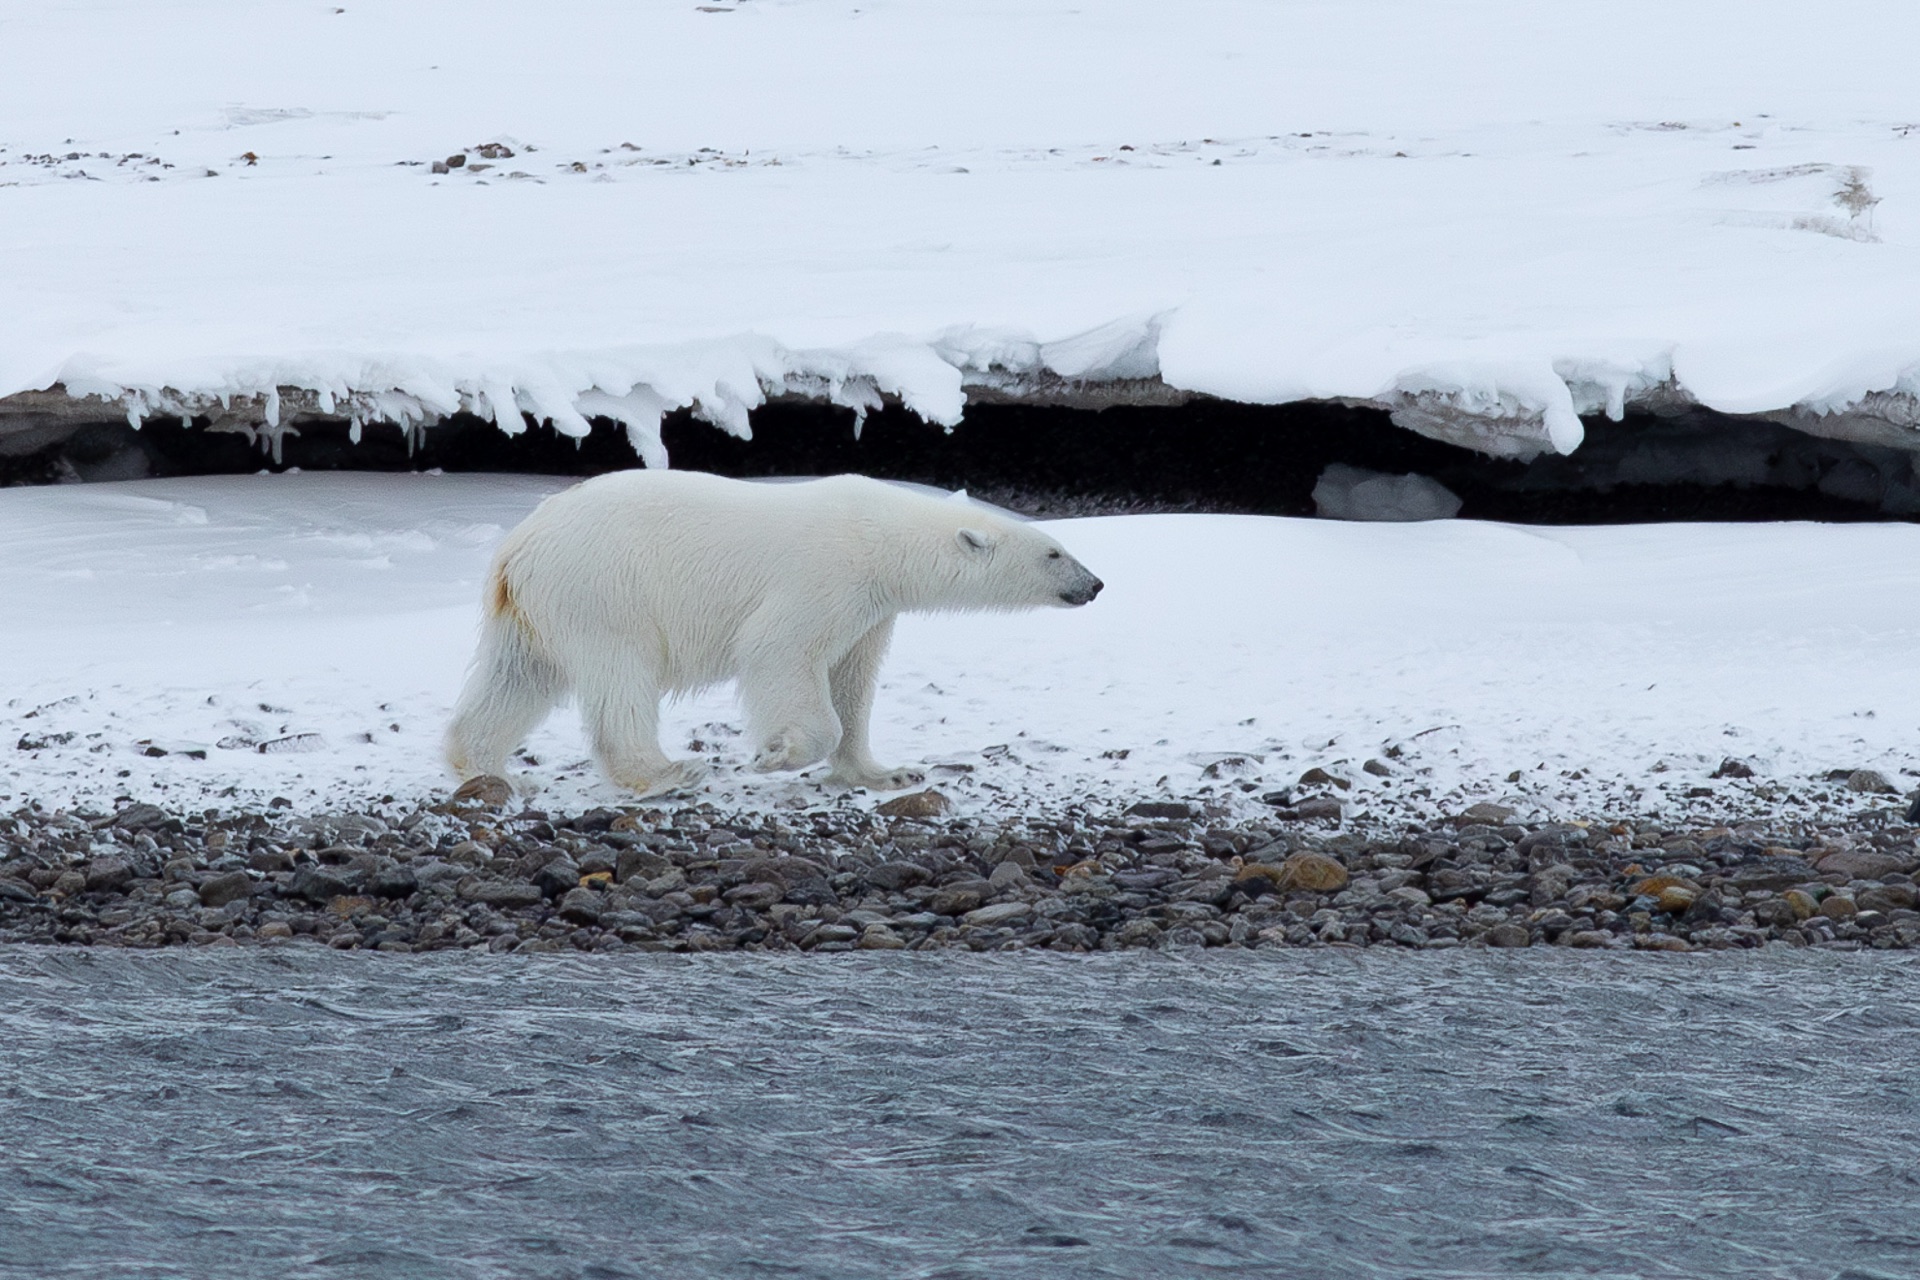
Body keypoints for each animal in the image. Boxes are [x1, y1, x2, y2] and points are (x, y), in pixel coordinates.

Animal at [444, 470, 1103, 797]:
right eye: (1053, 552)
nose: (1095, 584)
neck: (882, 538)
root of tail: (517, 546)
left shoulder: (871, 609)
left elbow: (853, 680)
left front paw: (887, 773)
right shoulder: (826, 576)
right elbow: (781, 653)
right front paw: (775, 754)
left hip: (534, 609)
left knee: (516, 679)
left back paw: (494, 770)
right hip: (605, 589)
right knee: (621, 675)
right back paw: (664, 774)